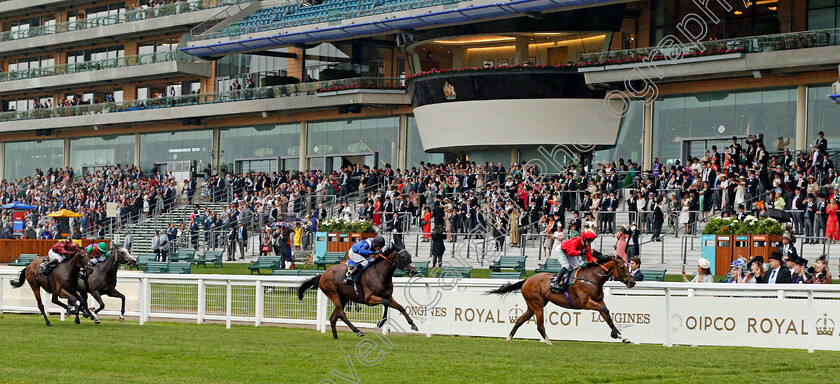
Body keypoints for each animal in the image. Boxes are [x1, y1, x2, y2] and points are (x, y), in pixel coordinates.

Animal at [486, 255, 636, 344]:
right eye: (622, 267)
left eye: (629, 267)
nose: (632, 282)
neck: (592, 278)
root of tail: (527, 280)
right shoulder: (586, 303)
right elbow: (605, 310)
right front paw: (616, 335)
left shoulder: (598, 301)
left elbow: (607, 315)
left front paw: (621, 336)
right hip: (537, 305)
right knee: (540, 325)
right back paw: (549, 342)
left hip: (533, 305)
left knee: (520, 320)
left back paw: (509, 338)